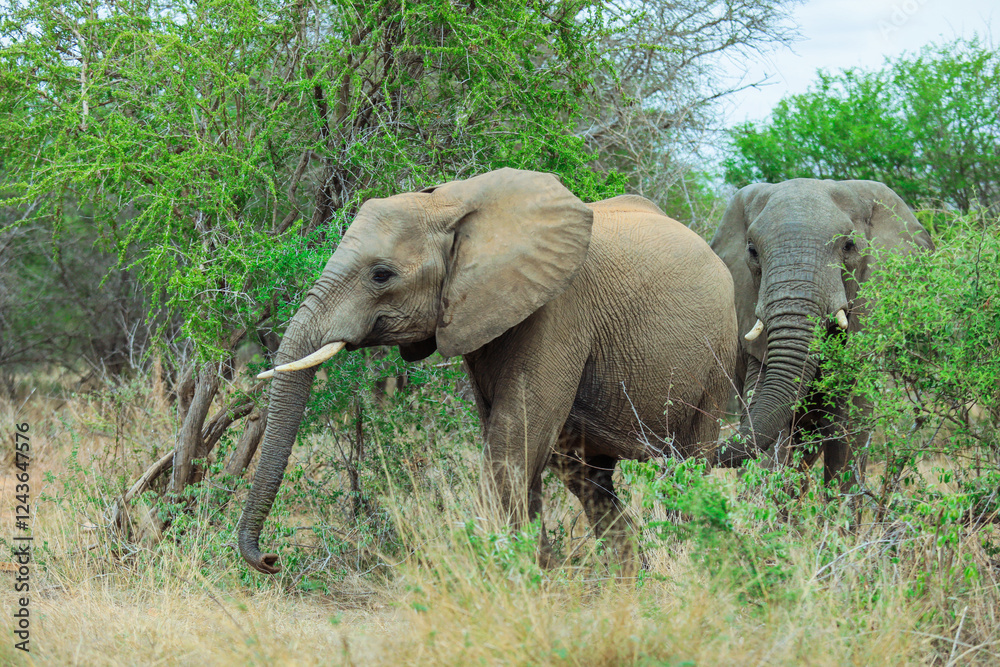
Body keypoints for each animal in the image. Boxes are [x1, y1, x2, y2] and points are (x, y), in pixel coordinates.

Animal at [238, 168, 738, 574]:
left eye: (381, 275)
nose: (271, 559)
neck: (451, 205)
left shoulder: (558, 311)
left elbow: (512, 443)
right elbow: (512, 445)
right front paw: (537, 573)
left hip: (718, 359)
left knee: (686, 468)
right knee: (586, 477)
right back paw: (630, 582)